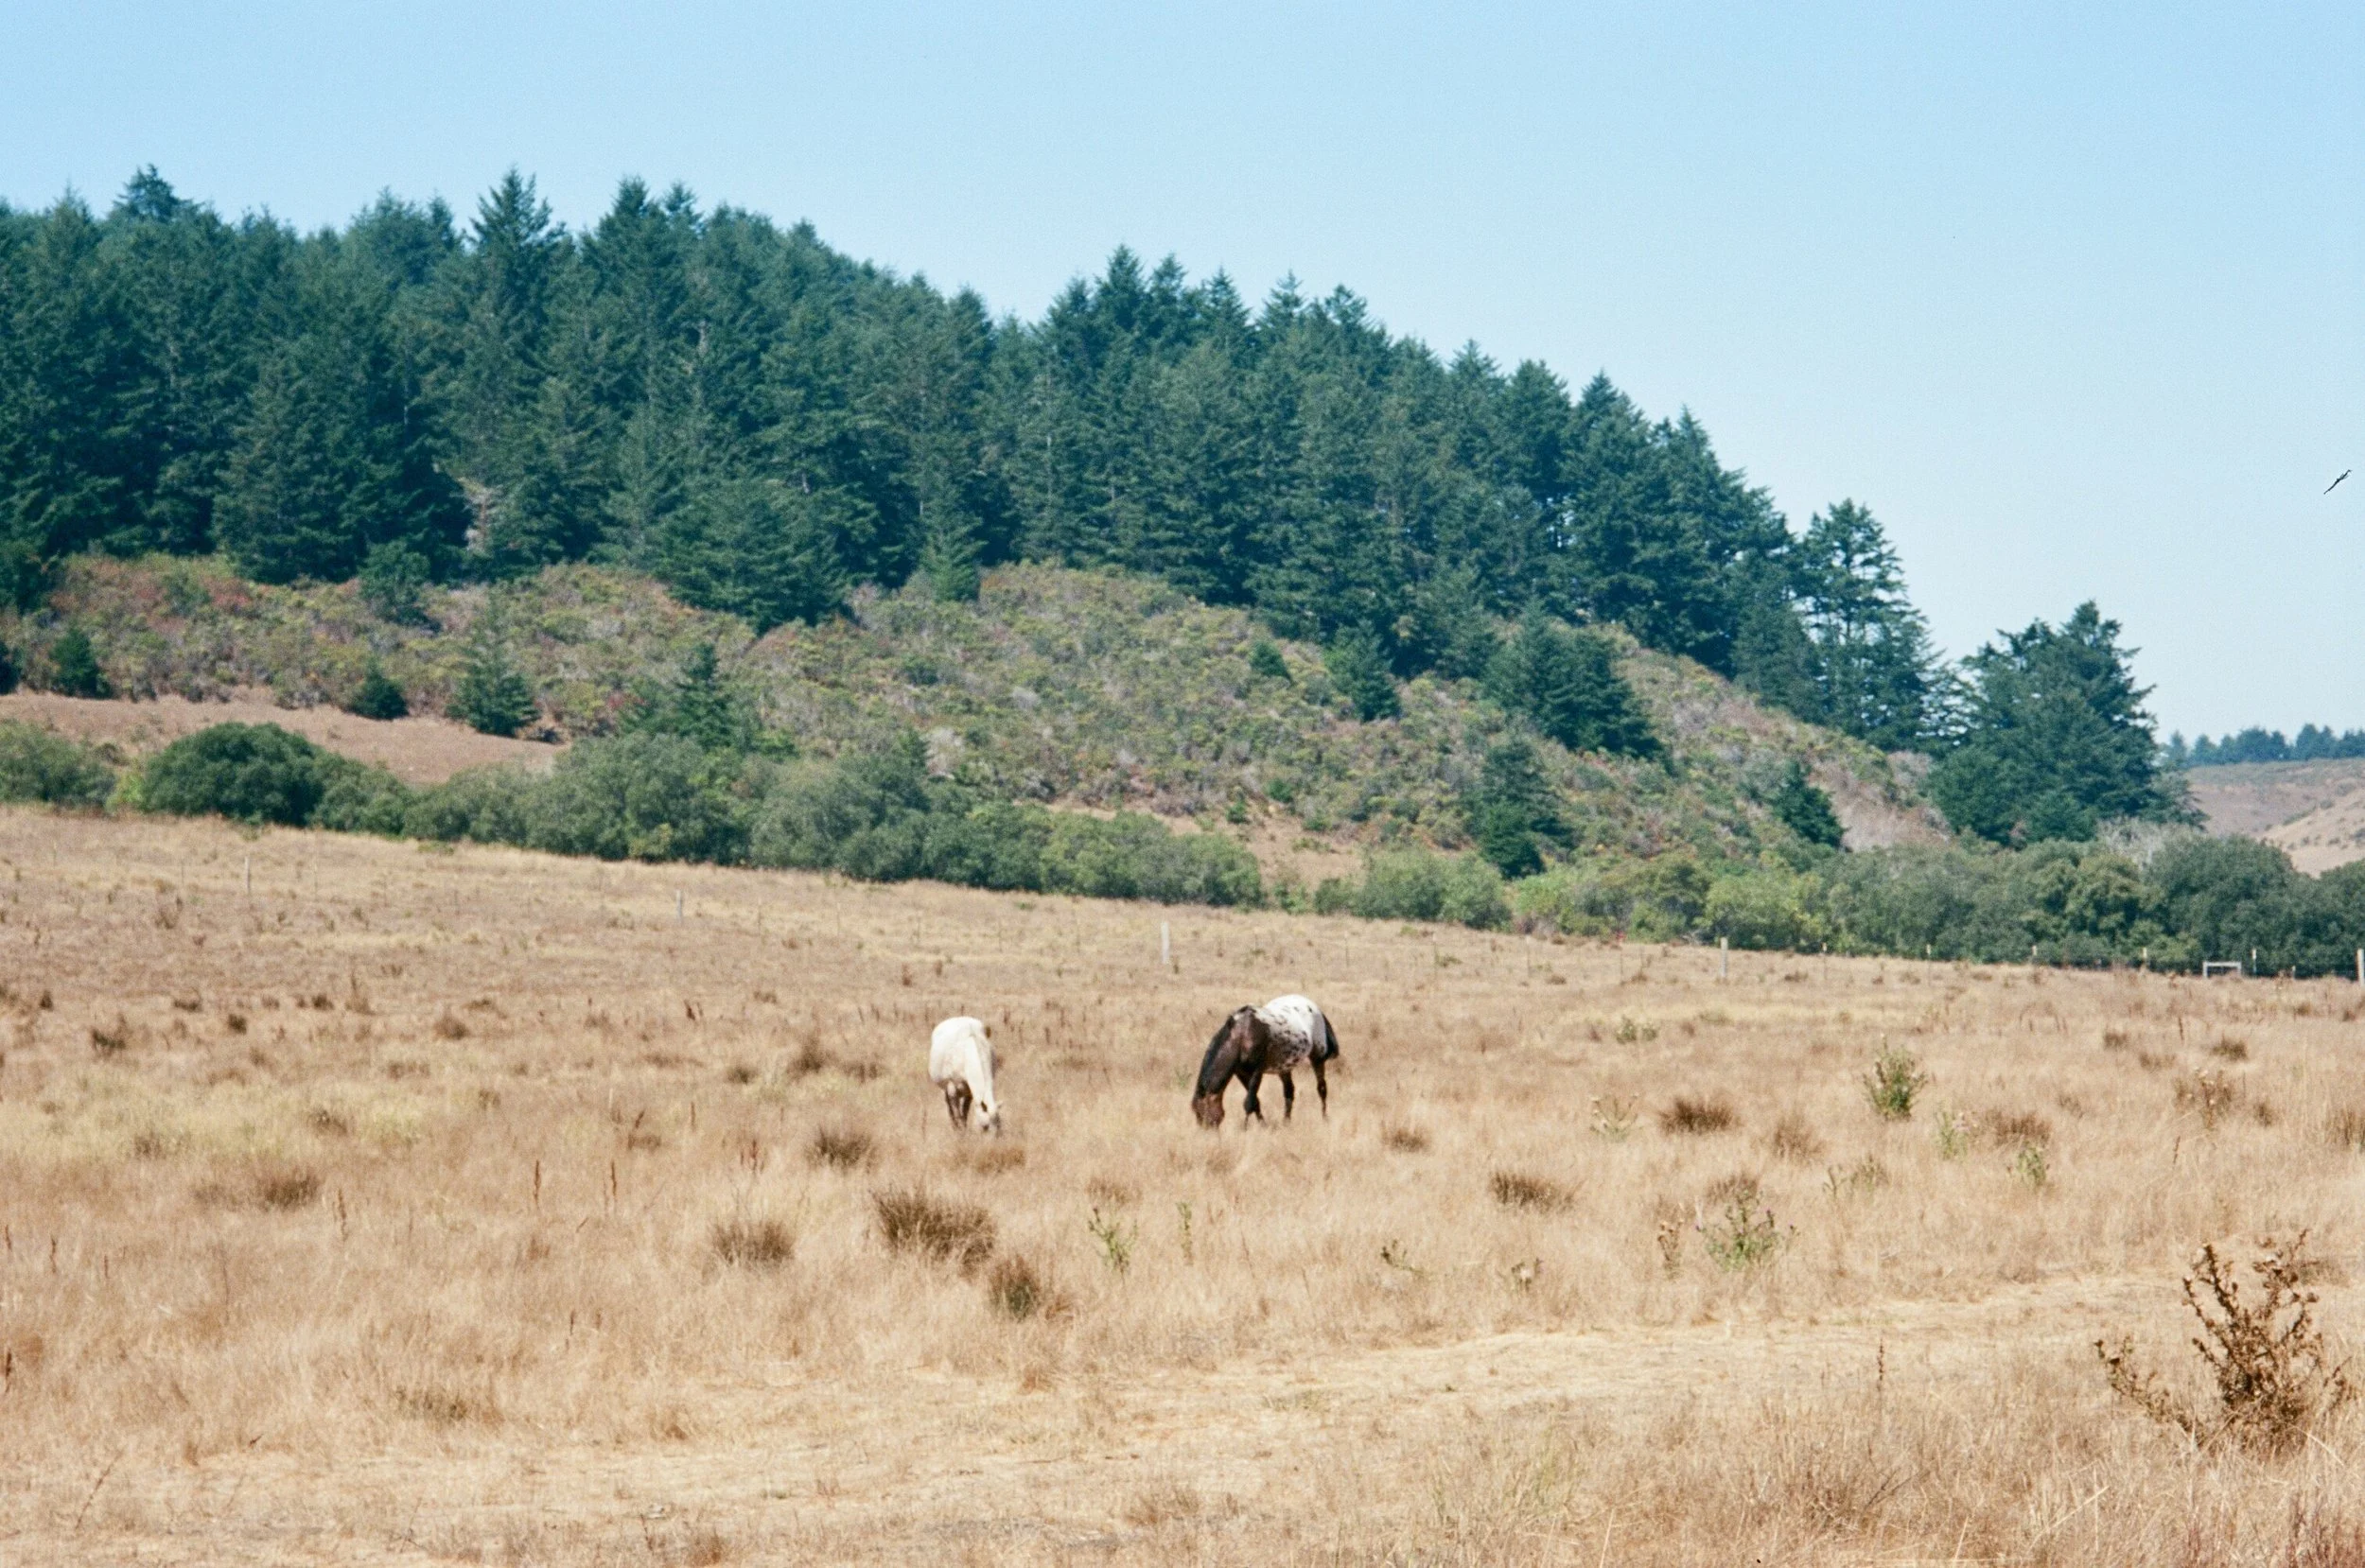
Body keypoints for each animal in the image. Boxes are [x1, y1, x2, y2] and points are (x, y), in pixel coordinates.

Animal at [1192, 994, 1339, 1128]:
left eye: (1203, 1114)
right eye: (1197, 1114)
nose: (1207, 1133)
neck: (1242, 1035)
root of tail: (1315, 1007)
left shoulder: (1257, 1071)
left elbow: (1249, 1103)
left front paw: (1245, 1128)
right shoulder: (1241, 1073)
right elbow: (1255, 1102)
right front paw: (1263, 1125)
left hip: (1317, 1058)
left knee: (1321, 1088)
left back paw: (1324, 1118)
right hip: (1284, 1066)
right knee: (1289, 1092)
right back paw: (1286, 1123)